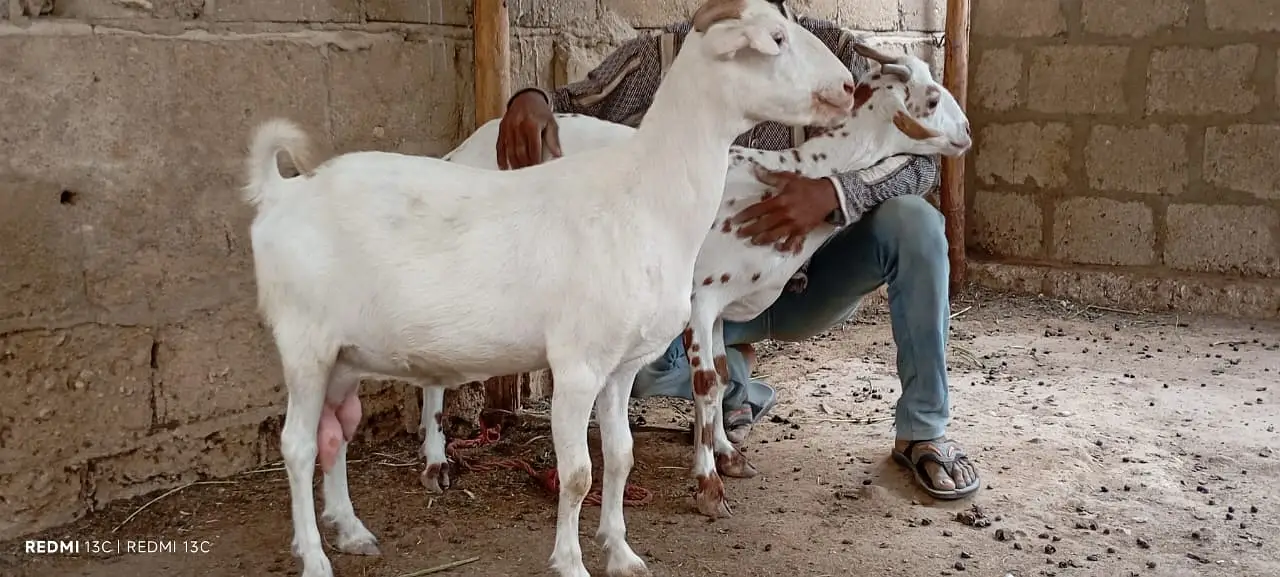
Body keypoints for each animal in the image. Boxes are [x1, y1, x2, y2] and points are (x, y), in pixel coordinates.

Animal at [238, 1, 857, 576]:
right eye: (775, 39)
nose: (850, 86)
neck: (645, 195)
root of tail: (282, 193)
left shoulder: (622, 365)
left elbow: (621, 457)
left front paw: (621, 552)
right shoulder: (578, 363)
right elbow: (579, 474)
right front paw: (571, 561)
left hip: (344, 355)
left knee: (334, 434)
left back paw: (351, 530)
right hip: (304, 342)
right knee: (296, 446)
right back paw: (315, 557)